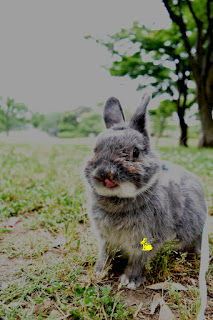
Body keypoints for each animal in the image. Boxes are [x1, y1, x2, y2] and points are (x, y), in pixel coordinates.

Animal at [84, 94, 207, 290]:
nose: (104, 173)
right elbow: (106, 255)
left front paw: (130, 281)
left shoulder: (146, 241)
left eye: (135, 152)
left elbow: (138, 261)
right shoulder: (106, 239)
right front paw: (99, 272)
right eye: (95, 150)